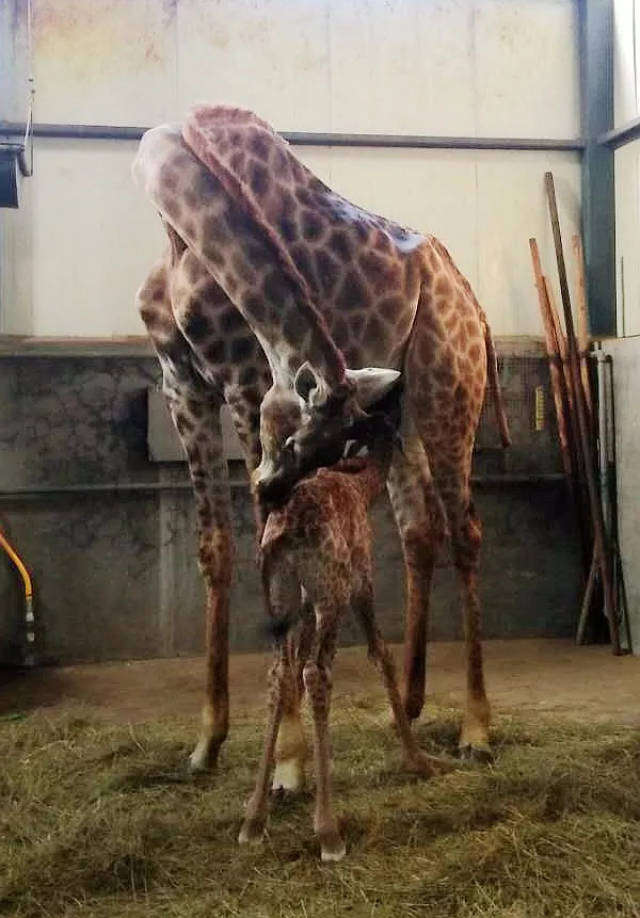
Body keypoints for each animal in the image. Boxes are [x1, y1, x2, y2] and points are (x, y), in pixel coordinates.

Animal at [132, 104, 508, 780]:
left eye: (311, 444)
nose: (270, 483)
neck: (176, 227)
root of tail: (475, 308)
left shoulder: (246, 378)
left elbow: (271, 545)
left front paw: (289, 761)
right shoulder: (182, 385)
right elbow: (215, 550)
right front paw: (206, 742)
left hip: (450, 390)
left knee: (465, 529)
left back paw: (476, 727)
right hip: (405, 412)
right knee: (419, 528)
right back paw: (408, 706)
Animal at [238, 400, 452, 864]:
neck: (361, 484)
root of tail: (282, 537)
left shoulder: (302, 604)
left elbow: (289, 671)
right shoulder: (359, 583)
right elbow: (381, 655)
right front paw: (419, 760)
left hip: (283, 596)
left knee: (280, 673)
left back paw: (253, 820)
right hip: (331, 593)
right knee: (316, 673)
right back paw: (329, 832)